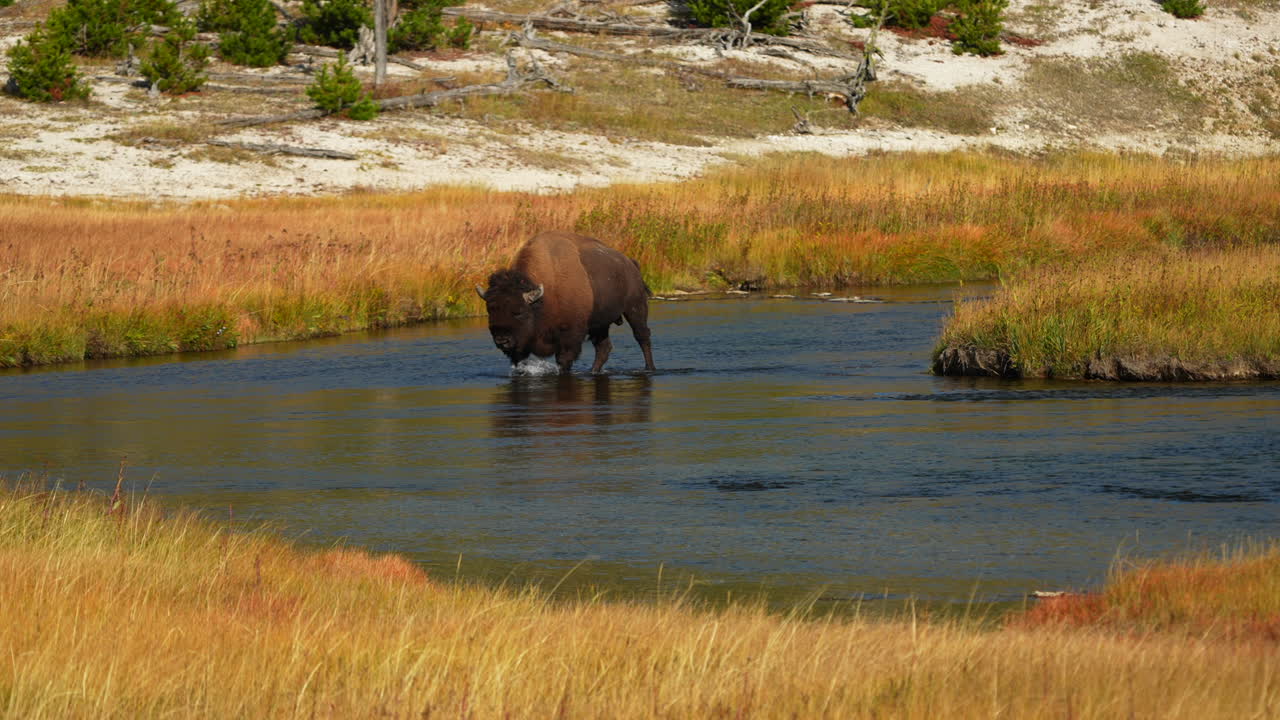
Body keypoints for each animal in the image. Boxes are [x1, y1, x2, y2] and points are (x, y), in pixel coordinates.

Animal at [476, 231, 656, 374]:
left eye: (518, 312)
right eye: (490, 310)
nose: (502, 341)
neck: (543, 298)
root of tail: (631, 264)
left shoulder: (570, 337)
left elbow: (564, 361)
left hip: (635, 308)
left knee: (642, 336)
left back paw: (650, 368)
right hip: (600, 323)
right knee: (603, 348)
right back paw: (593, 371)